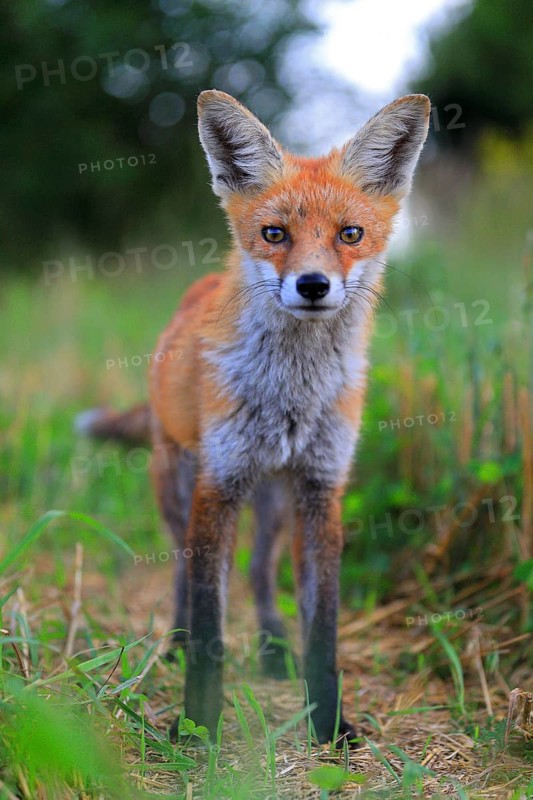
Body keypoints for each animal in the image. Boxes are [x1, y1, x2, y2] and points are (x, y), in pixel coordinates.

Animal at [77, 89, 430, 745]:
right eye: (274, 233)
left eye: (350, 234)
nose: (313, 285)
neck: (291, 394)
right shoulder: (218, 485)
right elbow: (210, 627)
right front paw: (197, 726)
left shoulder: (321, 488)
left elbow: (324, 628)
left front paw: (329, 723)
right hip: (177, 483)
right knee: (182, 574)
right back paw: (175, 640)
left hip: (273, 503)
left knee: (261, 573)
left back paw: (271, 646)